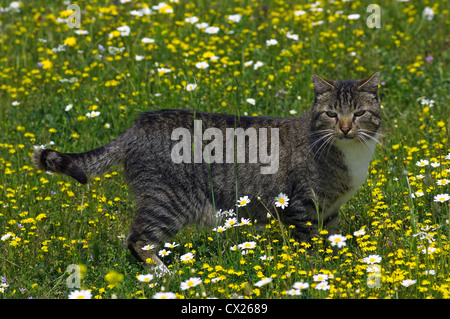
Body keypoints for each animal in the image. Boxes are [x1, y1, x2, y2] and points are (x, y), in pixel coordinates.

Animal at [33, 72, 382, 268]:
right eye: (332, 114)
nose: (346, 128)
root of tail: (138, 125)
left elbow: (333, 238)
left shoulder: (330, 210)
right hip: (168, 202)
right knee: (137, 241)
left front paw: (338, 262)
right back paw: (166, 276)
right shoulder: (302, 206)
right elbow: (308, 244)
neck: (349, 154)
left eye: (360, 113)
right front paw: (317, 271)